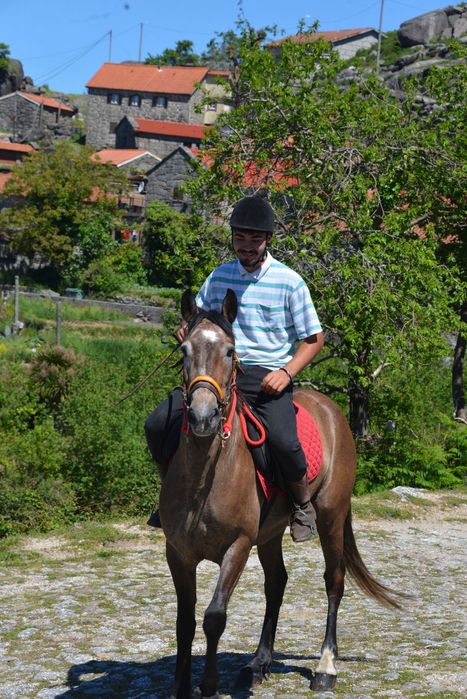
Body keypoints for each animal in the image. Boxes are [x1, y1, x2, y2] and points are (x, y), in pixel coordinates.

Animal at [158, 289, 403, 699]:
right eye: (184, 350)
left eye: (230, 351)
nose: (203, 418)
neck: (205, 478)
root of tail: (331, 410)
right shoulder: (178, 552)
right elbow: (184, 622)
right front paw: (180, 687)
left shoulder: (238, 546)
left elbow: (213, 617)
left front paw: (208, 685)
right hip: (270, 533)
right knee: (277, 583)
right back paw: (259, 663)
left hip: (331, 516)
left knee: (334, 581)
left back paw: (325, 667)